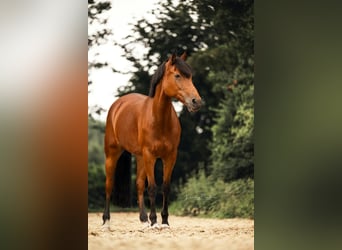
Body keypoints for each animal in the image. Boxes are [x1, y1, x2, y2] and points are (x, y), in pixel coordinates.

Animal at [103, 52, 202, 229]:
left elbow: (165, 187)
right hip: (112, 154)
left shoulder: (170, 157)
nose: (196, 102)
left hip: (140, 157)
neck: (159, 120)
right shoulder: (150, 156)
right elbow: (153, 188)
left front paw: (164, 221)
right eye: (177, 75)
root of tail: (117, 105)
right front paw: (155, 221)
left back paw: (143, 220)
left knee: (139, 184)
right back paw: (106, 221)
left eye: (190, 77)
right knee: (109, 185)